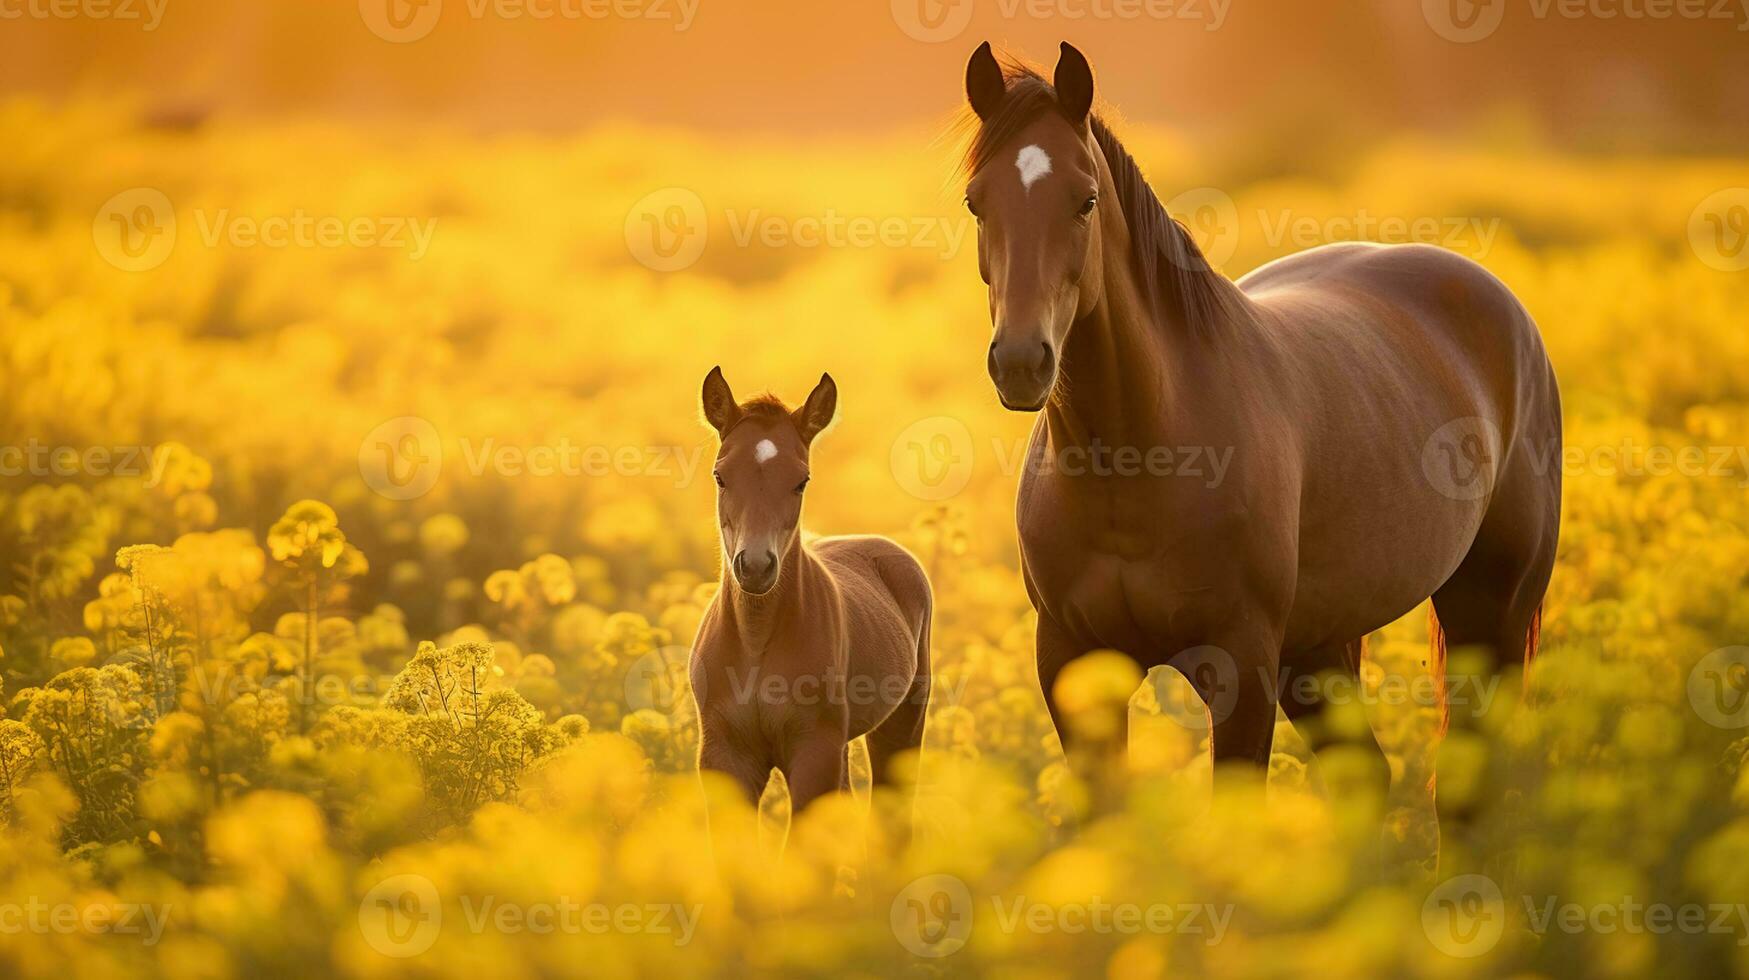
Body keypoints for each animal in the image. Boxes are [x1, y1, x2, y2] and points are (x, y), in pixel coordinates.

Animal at [685, 364, 937, 815]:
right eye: (720, 476)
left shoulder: (814, 754)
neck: (754, 641)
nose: (755, 566)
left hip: (902, 723)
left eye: (801, 480)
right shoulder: (723, 756)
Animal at [965, 43, 1567, 798]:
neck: (1131, 457)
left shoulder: (1240, 669)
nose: (1020, 361)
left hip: (1489, 613)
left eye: (1086, 200)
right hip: (1317, 645)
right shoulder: (1073, 666)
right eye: (976, 202)